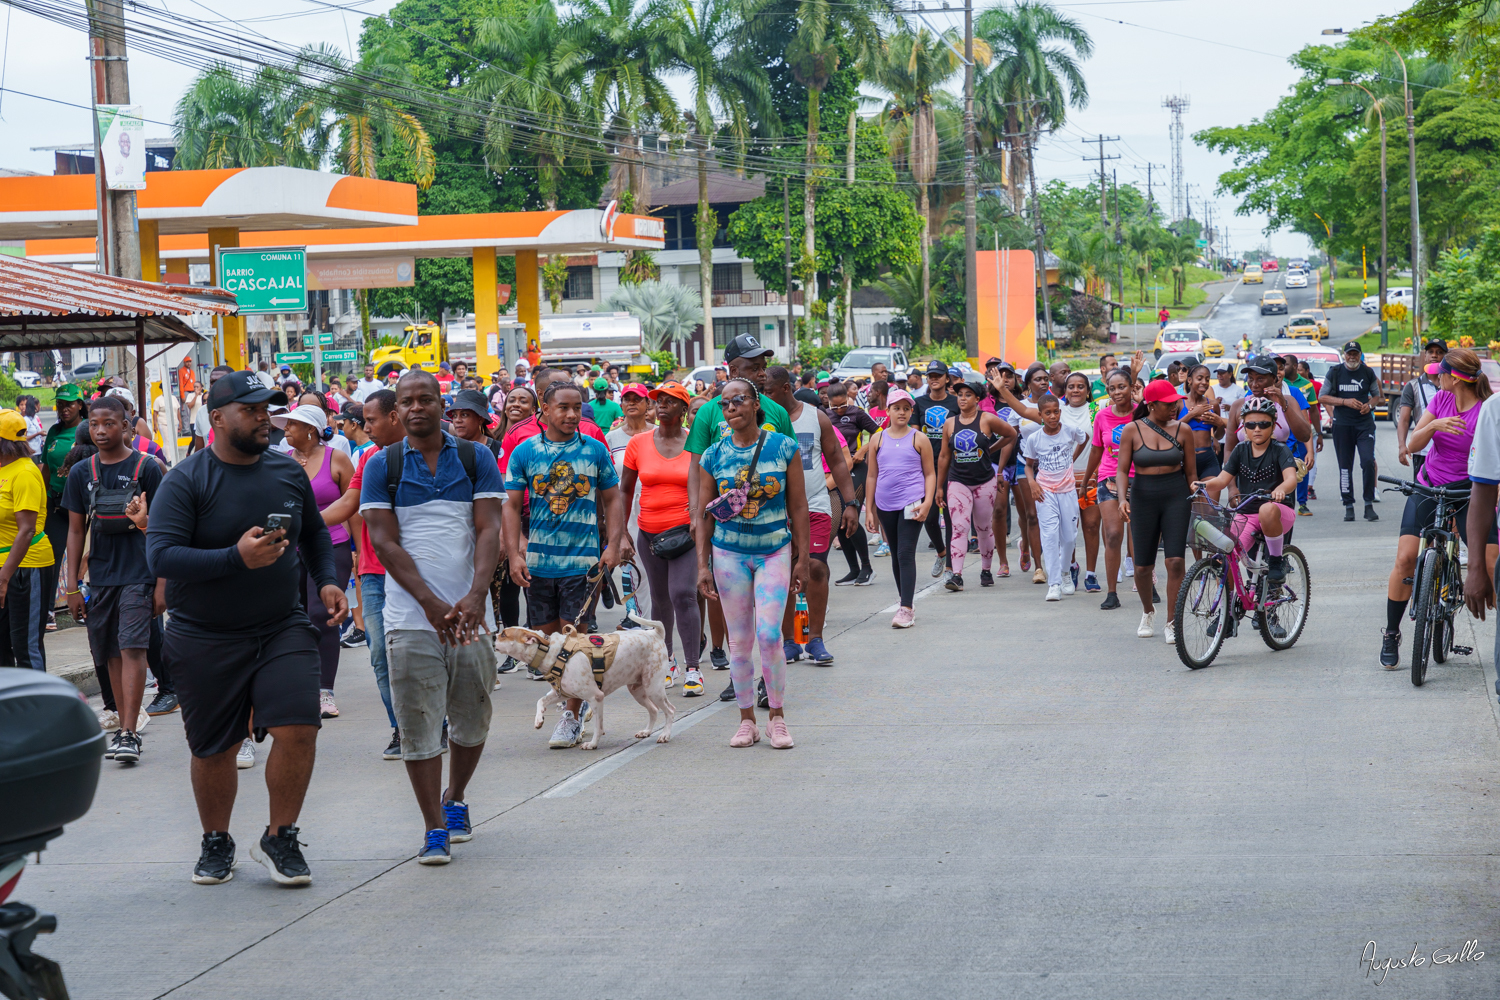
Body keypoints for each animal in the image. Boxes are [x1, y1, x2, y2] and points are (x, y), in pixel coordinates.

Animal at [495, 617, 678, 749]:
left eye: (503, 633)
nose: (492, 635)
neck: (553, 652)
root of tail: (655, 634)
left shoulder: (596, 697)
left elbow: (598, 726)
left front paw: (593, 744)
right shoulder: (561, 693)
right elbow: (540, 701)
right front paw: (539, 720)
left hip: (653, 688)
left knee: (670, 710)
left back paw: (665, 735)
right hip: (638, 690)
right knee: (653, 710)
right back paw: (646, 731)